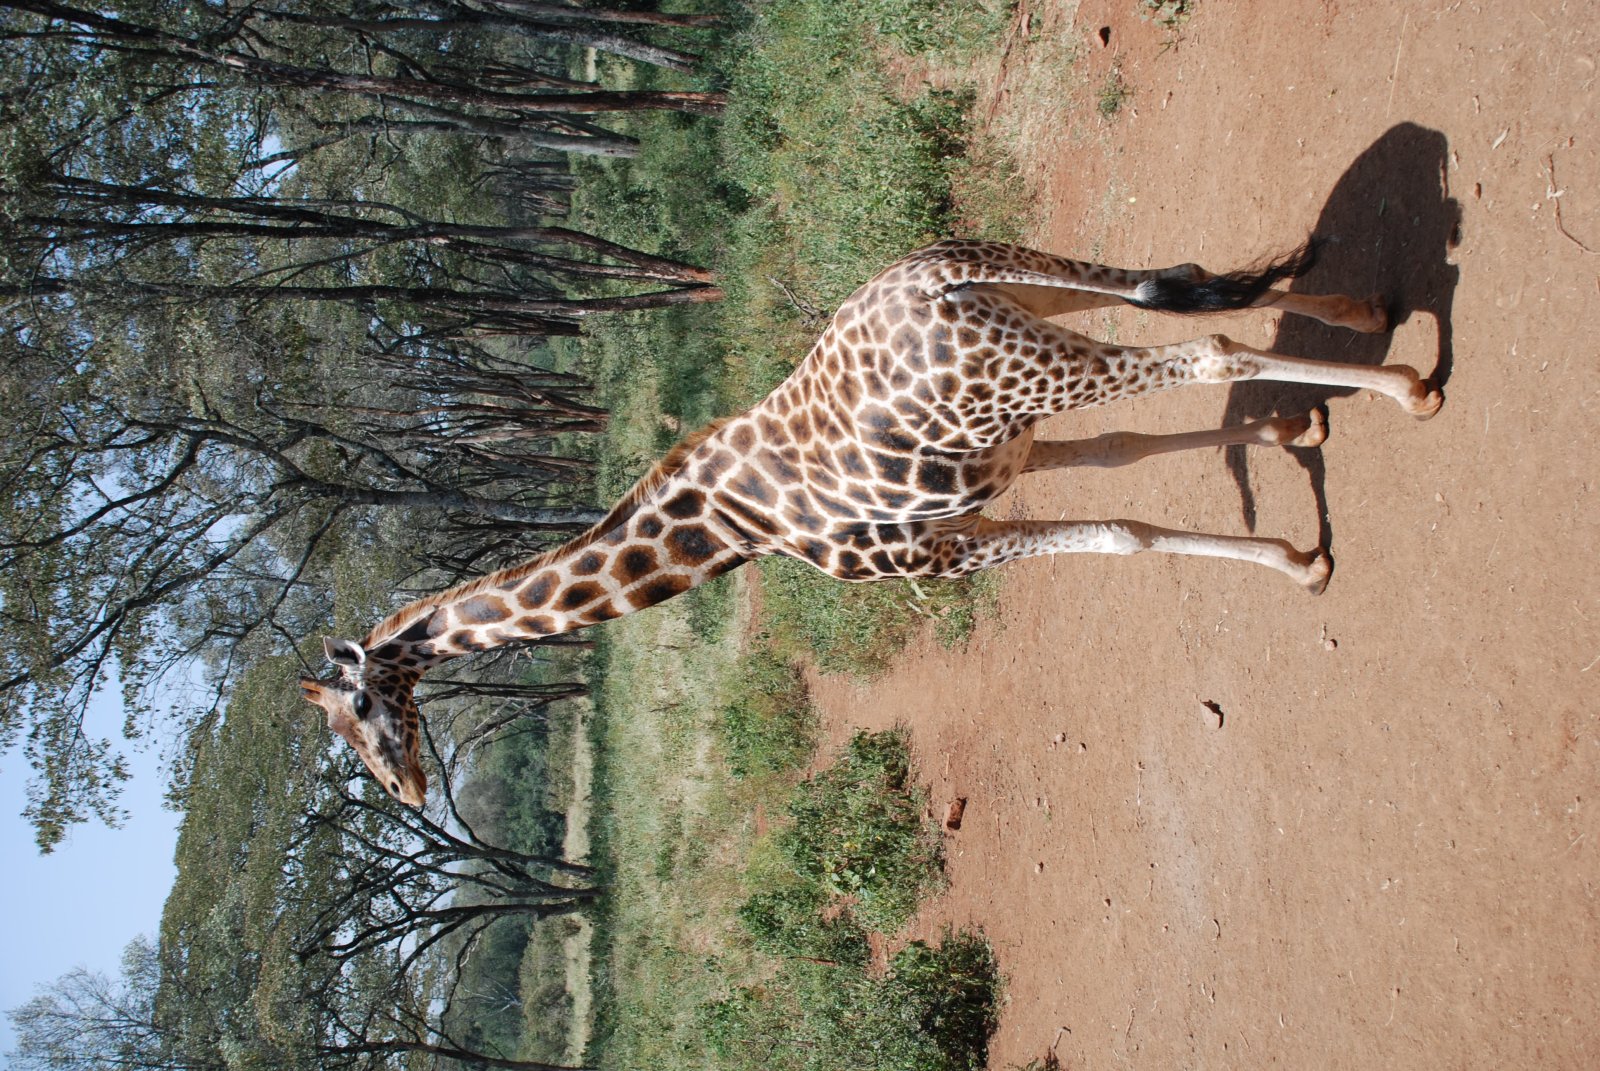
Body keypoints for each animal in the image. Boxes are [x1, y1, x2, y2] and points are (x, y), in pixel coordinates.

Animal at [301, 238, 1441, 805]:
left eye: (357, 714)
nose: (409, 791)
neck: (734, 529)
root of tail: (933, 280)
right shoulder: (1001, 462)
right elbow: (1126, 474)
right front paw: (1296, 435)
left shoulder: (929, 557)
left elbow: (1123, 531)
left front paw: (1299, 558)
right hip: (1039, 313)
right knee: (1182, 284)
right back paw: (1369, 318)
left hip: (1034, 363)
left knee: (1205, 348)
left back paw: (1410, 388)